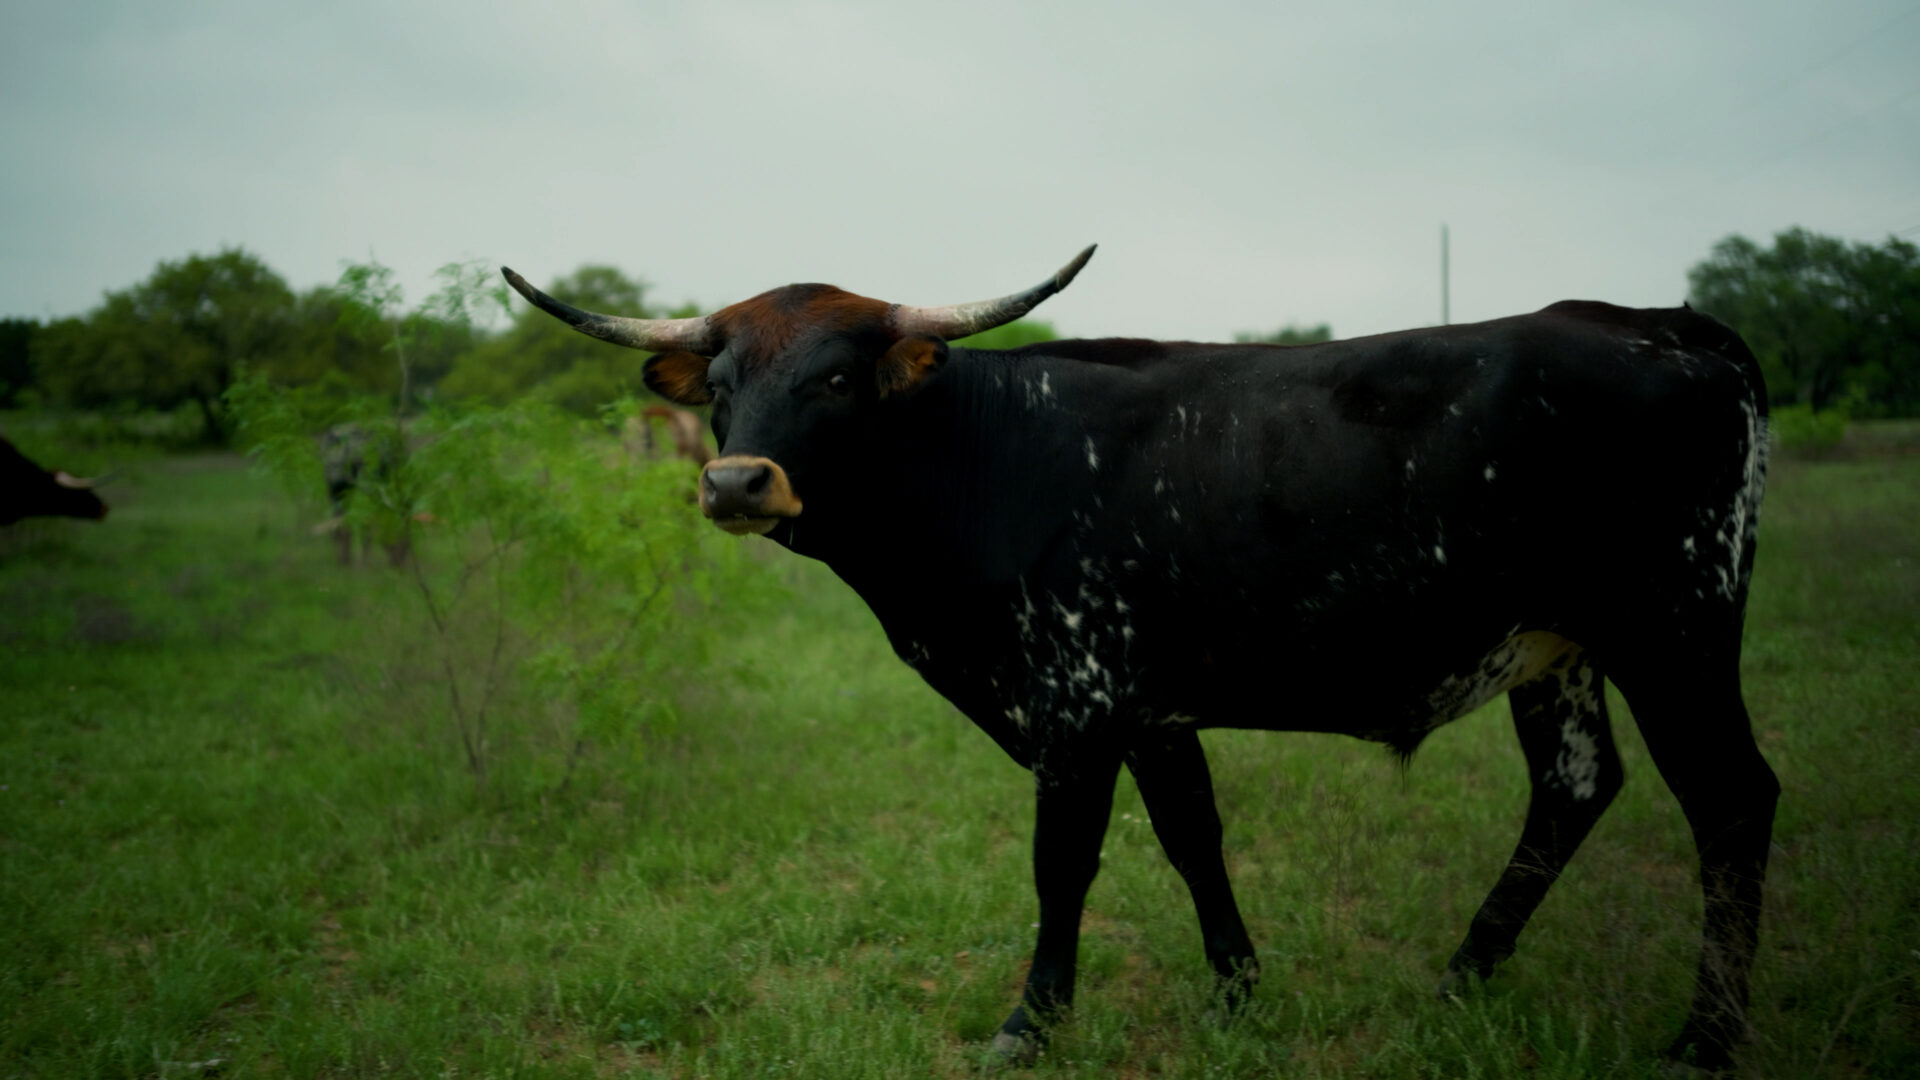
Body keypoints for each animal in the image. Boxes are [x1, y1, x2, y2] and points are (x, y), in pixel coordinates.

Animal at [501, 248, 1778, 1072]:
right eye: (721, 388)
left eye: (834, 377)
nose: (734, 482)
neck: (991, 449)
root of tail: (1664, 321)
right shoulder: (1153, 709)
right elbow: (1192, 840)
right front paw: (1239, 991)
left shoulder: (1075, 705)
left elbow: (1062, 866)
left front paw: (1030, 1025)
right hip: (1561, 648)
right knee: (1574, 787)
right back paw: (1463, 975)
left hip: (1677, 624)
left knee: (1731, 797)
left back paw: (1705, 1039)